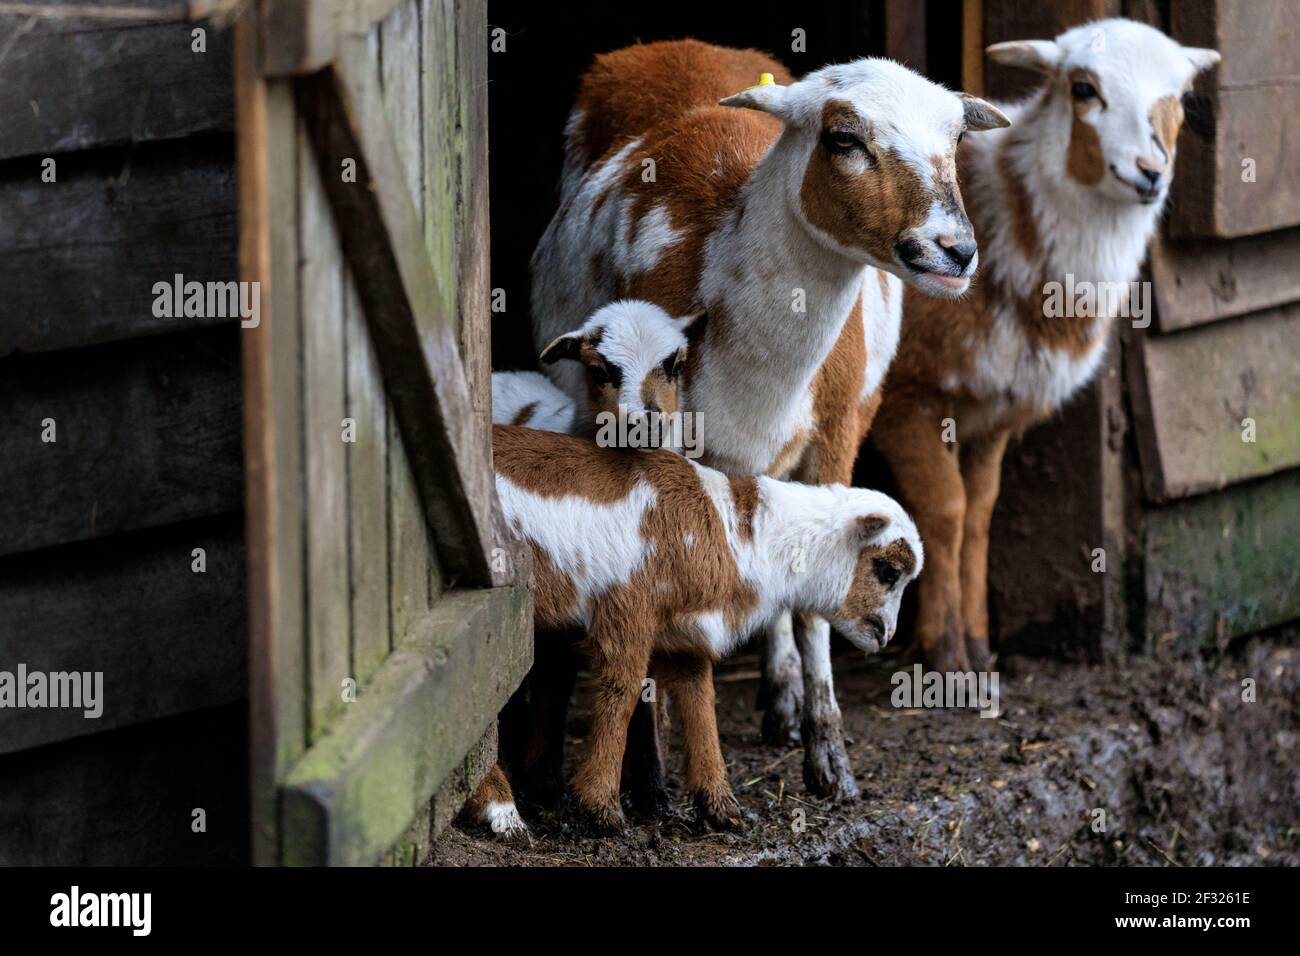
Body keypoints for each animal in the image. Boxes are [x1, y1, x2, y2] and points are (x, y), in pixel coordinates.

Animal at [481, 423, 922, 833]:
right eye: (888, 570)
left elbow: (700, 703)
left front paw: (721, 807)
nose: (886, 634)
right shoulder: (628, 609)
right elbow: (621, 694)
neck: (737, 536)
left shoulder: (686, 634)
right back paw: (501, 810)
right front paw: (602, 809)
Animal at [530, 39, 1008, 798]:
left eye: (958, 138)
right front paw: (650, 772)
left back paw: (782, 697)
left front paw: (830, 758)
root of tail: (681, 46)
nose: (955, 251)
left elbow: (815, 590)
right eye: (843, 138)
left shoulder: (838, 433)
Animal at [870, 19, 1219, 673]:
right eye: (1082, 88)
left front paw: (979, 646)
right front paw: (945, 653)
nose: (1150, 171)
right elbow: (945, 513)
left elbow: (980, 514)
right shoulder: (907, 395)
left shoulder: (994, 407)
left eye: (1182, 97)